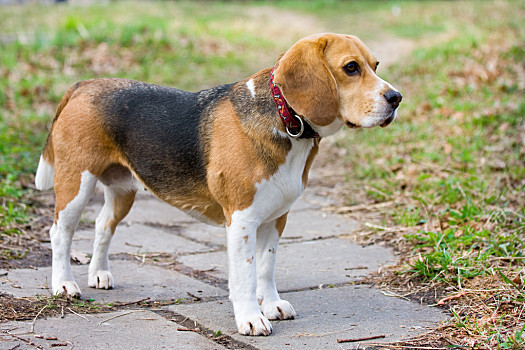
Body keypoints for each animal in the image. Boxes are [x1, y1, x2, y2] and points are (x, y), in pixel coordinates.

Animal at [34, 33, 402, 336]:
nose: (396, 97)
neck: (286, 119)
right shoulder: (241, 219)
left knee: (102, 225)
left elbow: (266, 267)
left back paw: (99, 274)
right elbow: (245, 274)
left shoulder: (276, 218)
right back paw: (63, 284)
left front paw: (271, 304)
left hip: (123, 191)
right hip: (76, 185)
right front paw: (251, 318)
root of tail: (84, 84)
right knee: (60, 233)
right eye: (351, 68)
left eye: (375, 65)